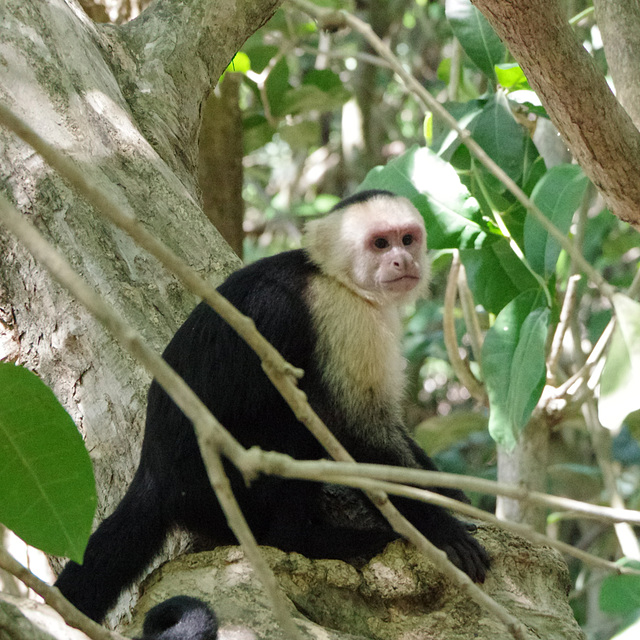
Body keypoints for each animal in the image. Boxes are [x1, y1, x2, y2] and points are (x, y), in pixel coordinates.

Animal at [56, 189, 490, 632]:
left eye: (407, 238)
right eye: (380, 244)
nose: (403, 261)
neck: (334, 277)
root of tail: (155, 477)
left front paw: (451, 495)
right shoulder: (342, 316)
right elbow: (354, 433)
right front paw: (442, 533)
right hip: (226, 491)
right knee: (299, 427)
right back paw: (308, 540)